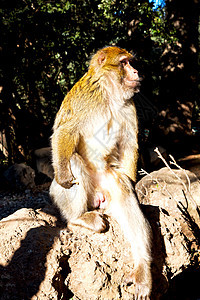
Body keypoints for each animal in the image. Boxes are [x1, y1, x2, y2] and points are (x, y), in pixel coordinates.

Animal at [50, 45, 152, 298]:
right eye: (124, 62)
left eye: (131, 62)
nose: (136, 71)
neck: (109, 94)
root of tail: (96, 197)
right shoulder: (86, 99)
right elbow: (64, 132)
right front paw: (64, 176)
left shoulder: (129, 106)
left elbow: (129, 144)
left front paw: (134, 183)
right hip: (65, 195)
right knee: (74, 160)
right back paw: (78, 218)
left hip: (107, 185)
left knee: (122, 187)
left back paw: (142, 269)